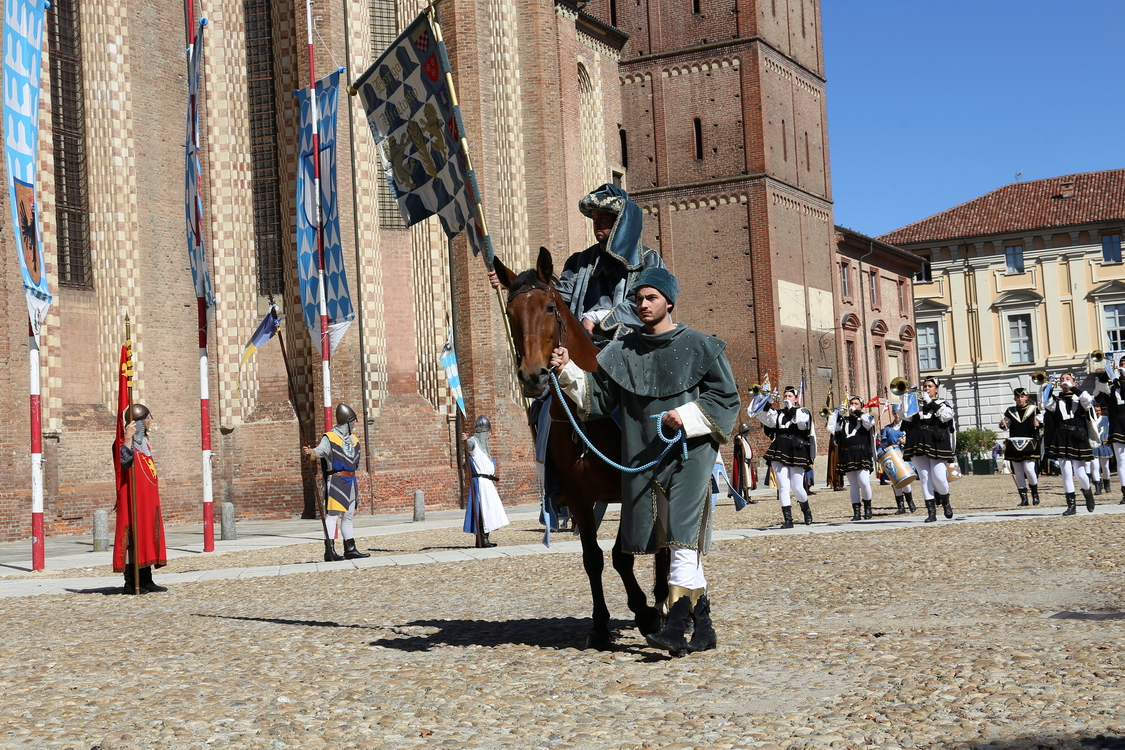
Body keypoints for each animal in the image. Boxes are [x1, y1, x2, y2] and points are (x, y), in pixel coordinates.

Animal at [495, 247, 666, 652]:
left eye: (549, 307)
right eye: (511, 312)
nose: (533, 376)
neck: (587, 408)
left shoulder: (632, 488)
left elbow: (622, 555)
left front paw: (646, 614)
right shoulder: (577, 497)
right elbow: (594, 559)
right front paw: (601, 626)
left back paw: (665, 603)